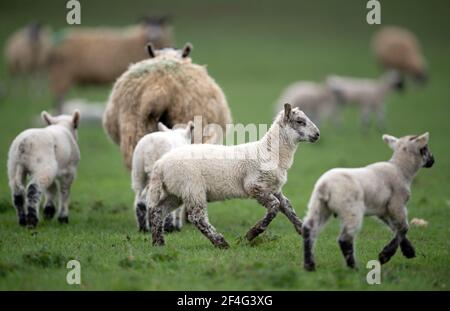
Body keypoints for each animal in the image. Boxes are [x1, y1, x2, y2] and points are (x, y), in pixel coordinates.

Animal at [146, 103, 318, 250]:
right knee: (197, 217)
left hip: (176, 191)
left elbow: (287, 206)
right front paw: (251, 234)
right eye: (300, 121)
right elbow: (275, 207)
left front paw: (301, 229)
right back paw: (221, 242)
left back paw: (158, 243)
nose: (317, 134)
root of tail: (160, 164)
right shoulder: (254, 186)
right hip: (192, 187)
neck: (269, 152)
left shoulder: (273, 187)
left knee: (158, 211)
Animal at [300, 133, 434, 272]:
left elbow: (395, 228)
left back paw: (309, 265)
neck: (401, 169)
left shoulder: (383, 211)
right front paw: (385, 255)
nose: (432, 160)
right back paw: (353, 268)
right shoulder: (396, 204)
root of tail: (325, 186)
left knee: (309, 229)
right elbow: (403, 228)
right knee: (345, 239)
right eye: (425, 148)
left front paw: (408, 250)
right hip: (351, 209)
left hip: (318, 205)